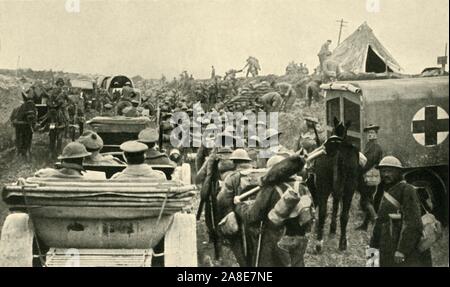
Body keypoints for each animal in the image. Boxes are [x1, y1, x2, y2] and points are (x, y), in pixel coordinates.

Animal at [312, 117, 358, 252]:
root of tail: (338, 149)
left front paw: (332, 228)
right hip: (349, 187)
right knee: (344, 215)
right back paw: (342, 243)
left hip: (323, 185)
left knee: (323, 211)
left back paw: (319, 242)